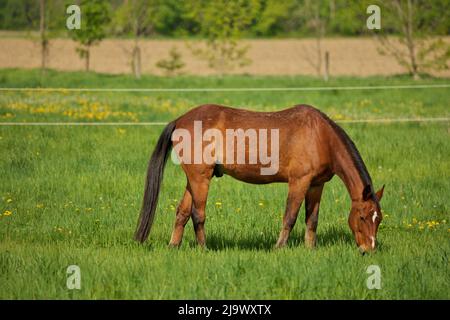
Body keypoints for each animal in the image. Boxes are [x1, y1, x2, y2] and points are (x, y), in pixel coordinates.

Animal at [134, 104, 384, 252]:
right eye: (362, 217)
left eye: (378, 219)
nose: (369, 249)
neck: (321, 136)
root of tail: (180, 120)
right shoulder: (299, 182)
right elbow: (290, 217)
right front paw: (279, 247)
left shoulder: (316, 185)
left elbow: (312, 219)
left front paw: (309, 249)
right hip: (200, 179)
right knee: (198, 214)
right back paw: (204, 248)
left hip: (194, 179)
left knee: (182, 212)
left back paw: (173, 246)